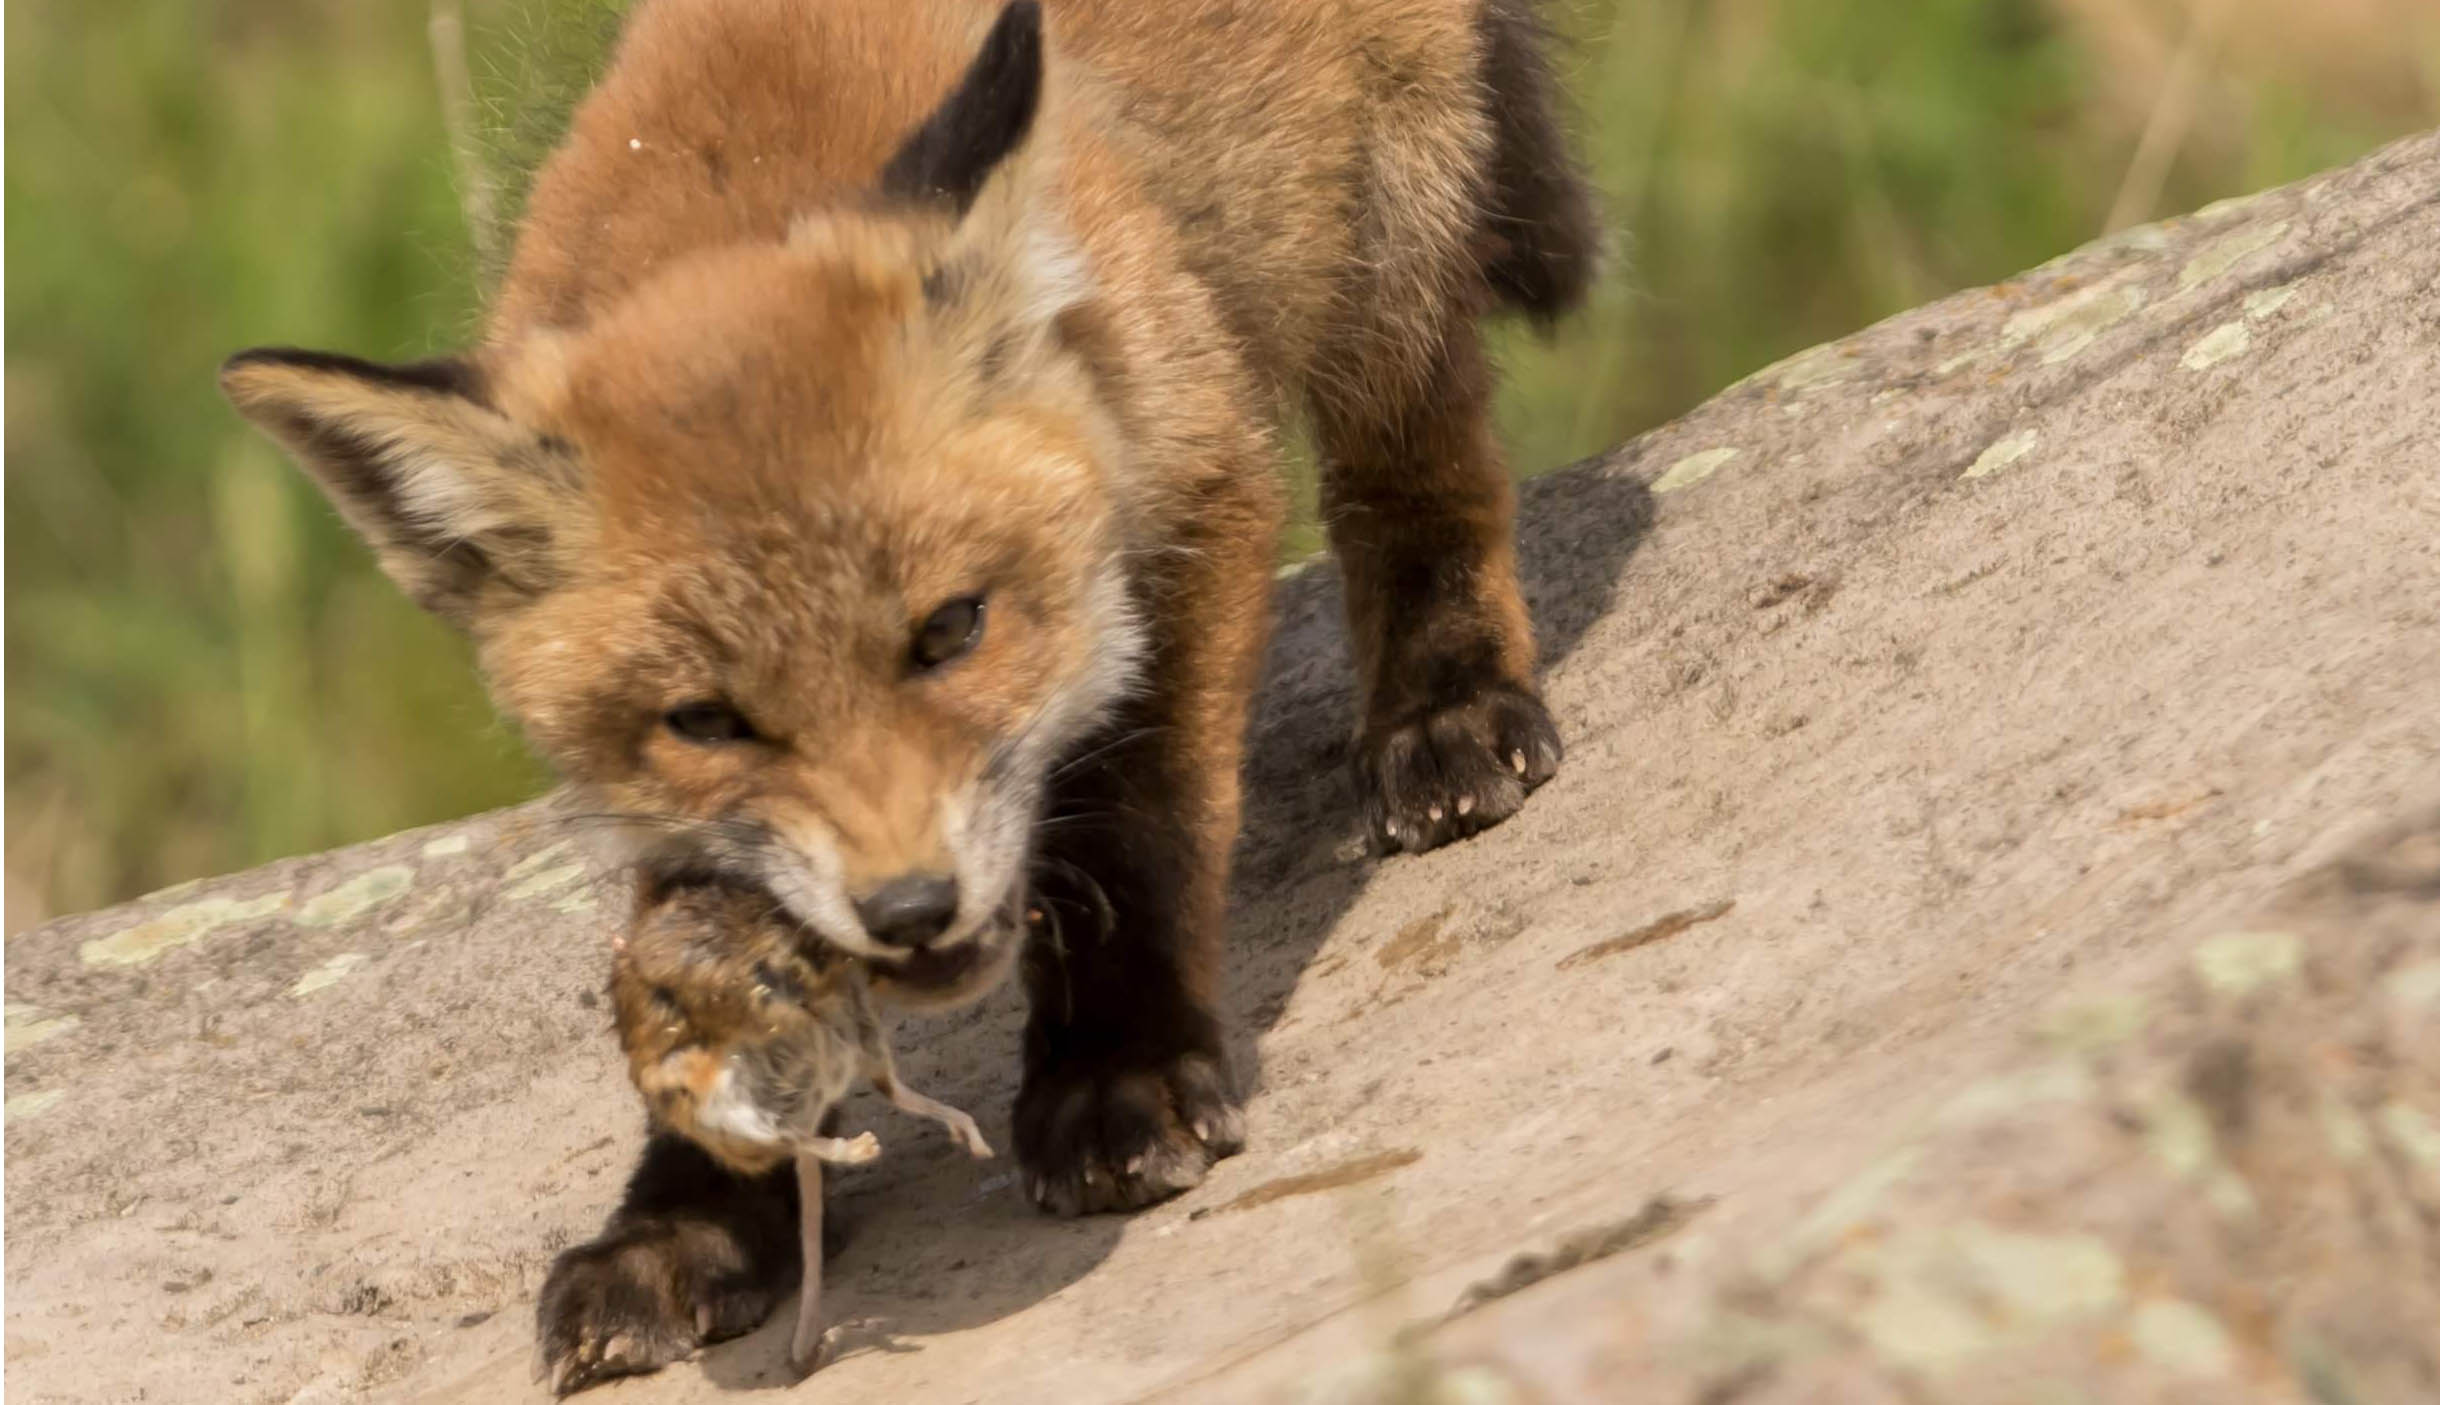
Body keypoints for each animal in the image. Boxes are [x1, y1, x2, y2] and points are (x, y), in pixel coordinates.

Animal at [219, 0, 1590, 1385]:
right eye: (707, 721)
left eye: (951, 630)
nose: (911, 911)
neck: (737, 183)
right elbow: (691, 969)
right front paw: (690, 1215)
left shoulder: (1199, 479)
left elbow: (1142, 829)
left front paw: (1119, 1066)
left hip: (1382, 225)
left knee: (1418, 468)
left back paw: (1444, 704)